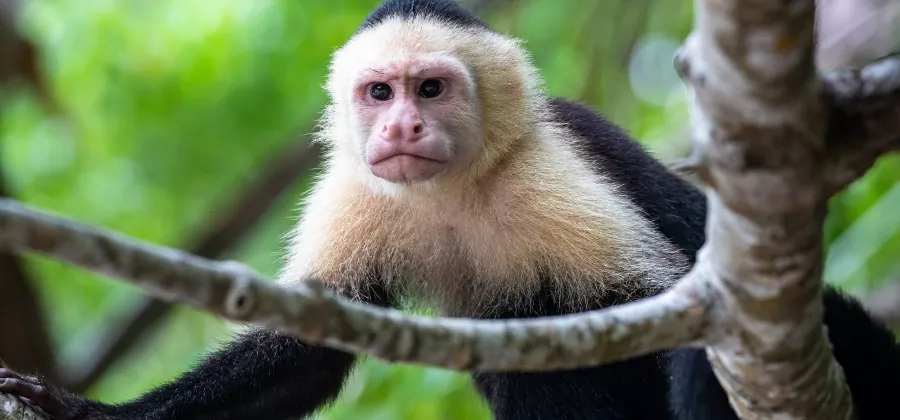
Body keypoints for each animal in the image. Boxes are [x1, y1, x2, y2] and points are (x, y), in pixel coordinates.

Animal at [1, 1, 899, 419]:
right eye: (379, 93)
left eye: (430, 88)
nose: (401, 126)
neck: (453, 193)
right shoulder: (353, 189)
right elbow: (306, 352)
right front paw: (84, 412)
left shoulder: (554, 173)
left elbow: (664, 311)